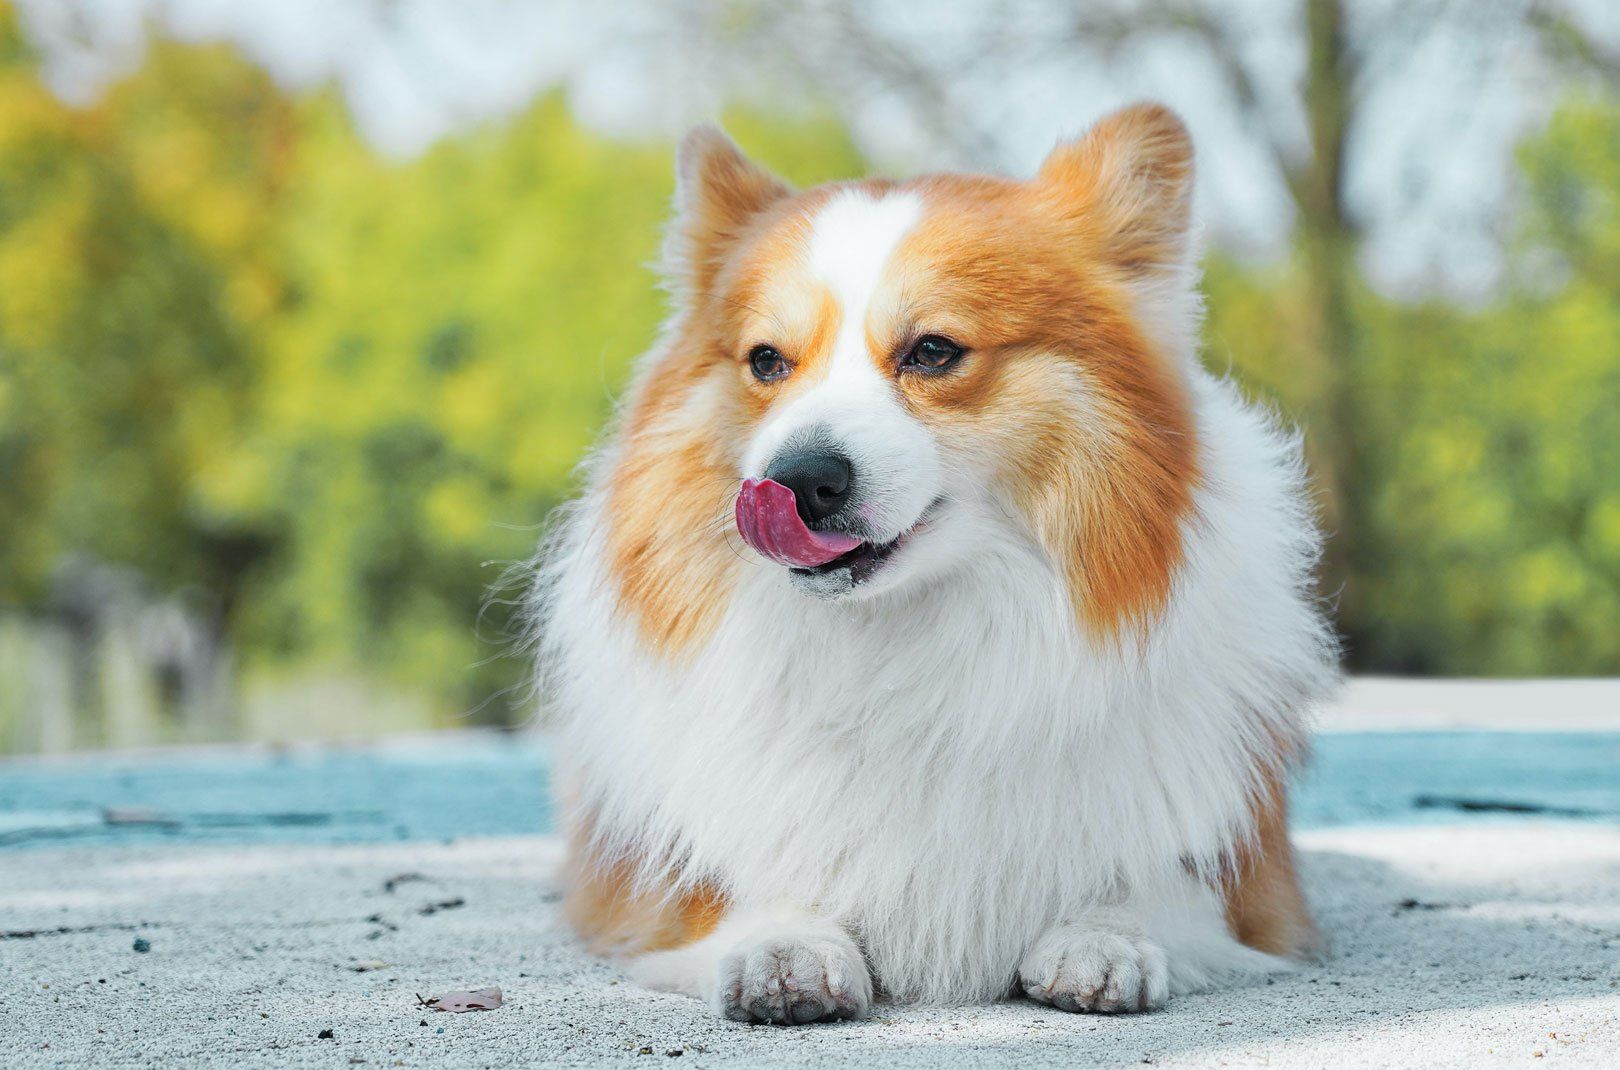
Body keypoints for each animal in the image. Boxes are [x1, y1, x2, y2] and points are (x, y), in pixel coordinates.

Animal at [537, 104, 1334, 1024]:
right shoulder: (649, 882)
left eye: (933, 351)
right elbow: (739, 884)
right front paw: (786, 944)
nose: (798, 480)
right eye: (767, 361)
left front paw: (1106, 938)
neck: (905, 644)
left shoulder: (1252, 883)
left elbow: (1158, 882)